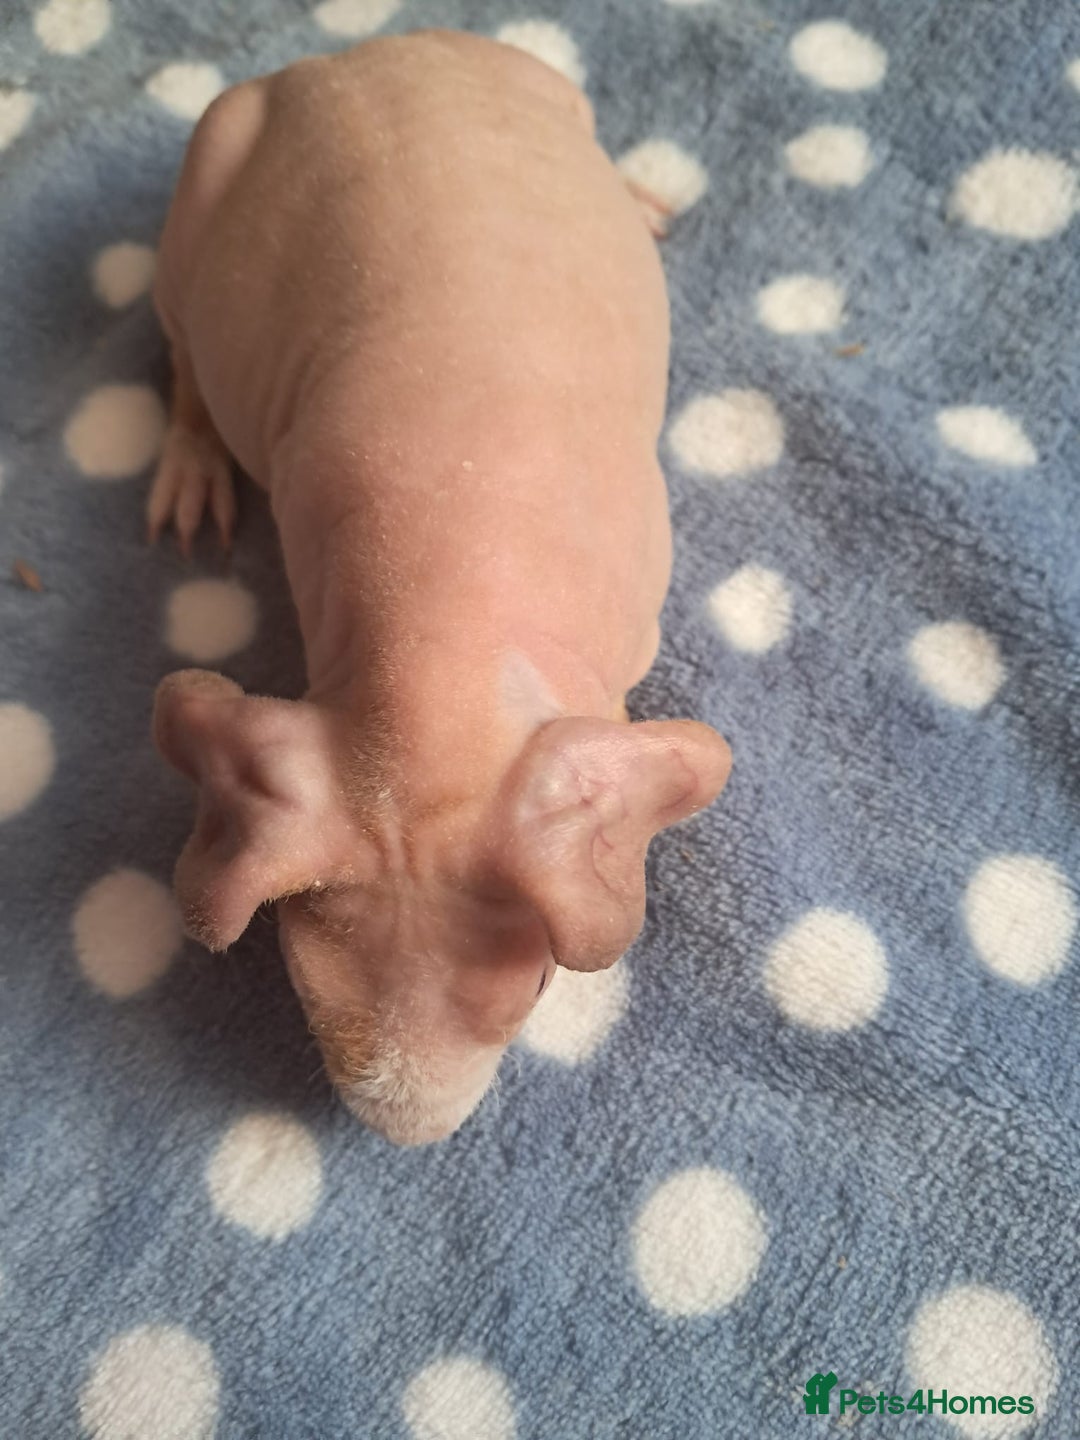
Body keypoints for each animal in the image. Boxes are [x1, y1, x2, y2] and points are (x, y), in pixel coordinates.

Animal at [148, 27, 732, 1145]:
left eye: (539, 988)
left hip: (545, 89)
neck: (441, 637)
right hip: (202, 179)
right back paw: (190, 470)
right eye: (301, 982)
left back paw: (642, 195)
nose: (406, 1137)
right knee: (185, 352)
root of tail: (365, 52)